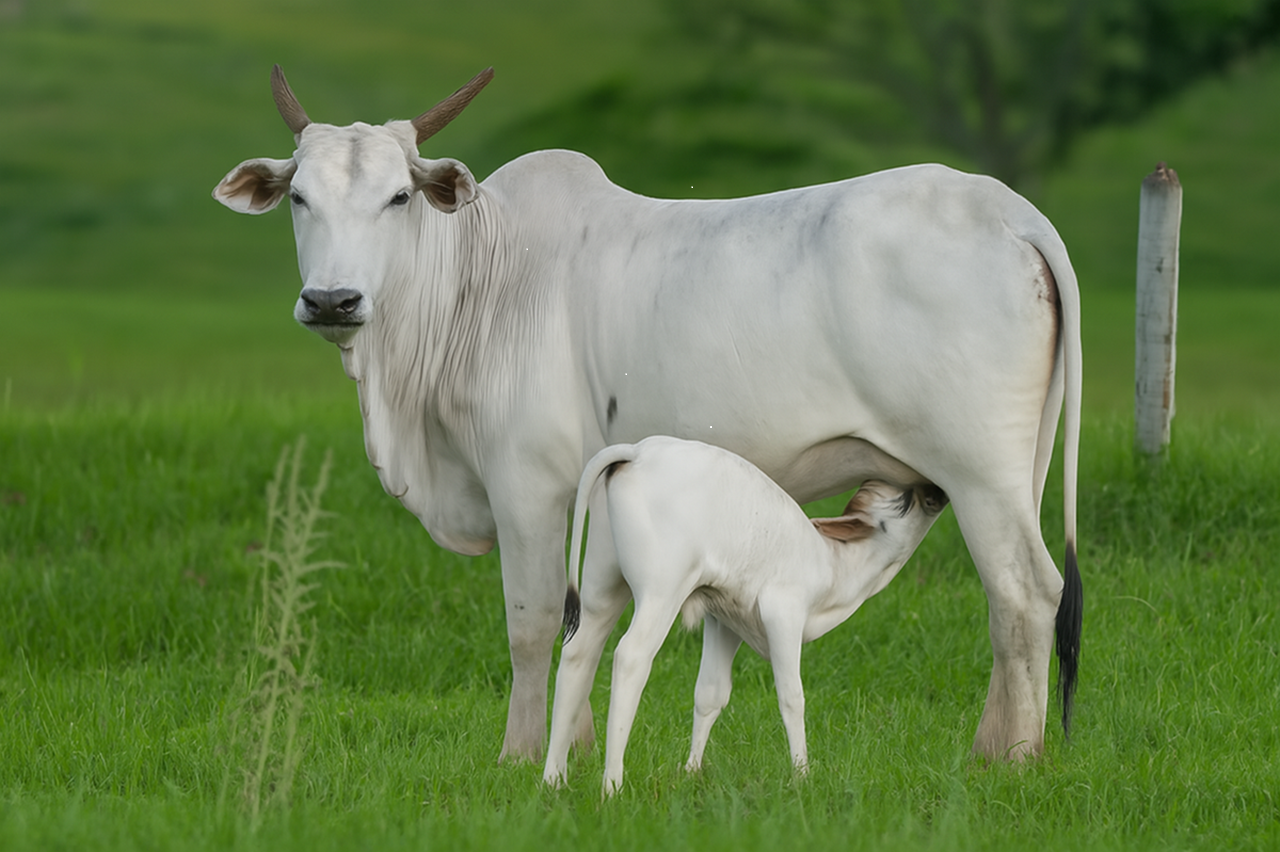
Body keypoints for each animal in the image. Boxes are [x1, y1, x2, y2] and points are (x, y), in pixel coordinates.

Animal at [543, 436, 951, 794]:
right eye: (908, 499)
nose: (939, 488)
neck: (836, 565)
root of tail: (640, 450)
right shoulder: (783, 612)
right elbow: (792, 695)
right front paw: (802, 775)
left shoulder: (725, 620)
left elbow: (710, 693)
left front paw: (691, 771)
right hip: (662, 589)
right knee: (631, 656)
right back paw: (612, 786)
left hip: (602, 580)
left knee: (579, 654)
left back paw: (553, 781)